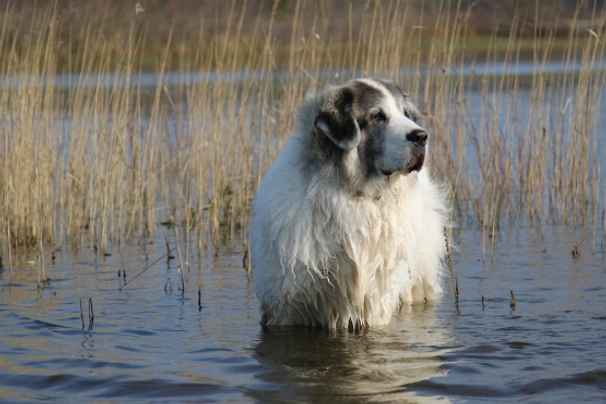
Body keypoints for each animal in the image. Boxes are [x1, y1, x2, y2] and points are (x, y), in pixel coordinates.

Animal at [249, 78, 448, 328]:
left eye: (405, 113)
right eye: (377, 116)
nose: (421, 136)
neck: (356, 194)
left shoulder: (375, 301)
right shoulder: (286, 307)